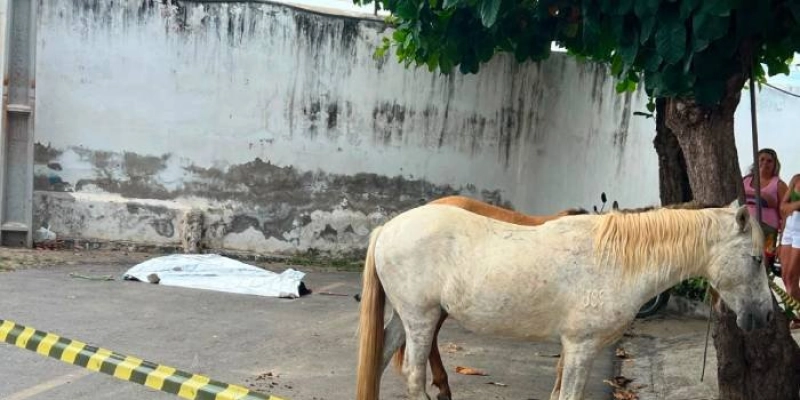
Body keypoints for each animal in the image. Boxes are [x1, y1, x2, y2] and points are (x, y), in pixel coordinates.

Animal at [355, 203, 773, 400]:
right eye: (756, 259)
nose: (766, 315)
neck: (615, 259)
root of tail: (388, 228)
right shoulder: (580, 347)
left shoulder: (570, 350)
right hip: (421, 319)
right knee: (413, 376)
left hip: (405, 319)